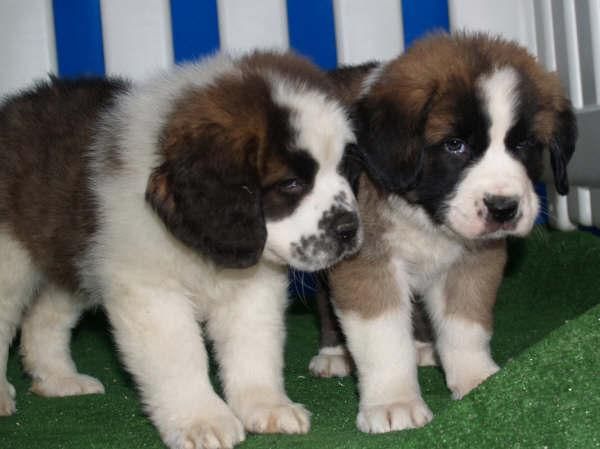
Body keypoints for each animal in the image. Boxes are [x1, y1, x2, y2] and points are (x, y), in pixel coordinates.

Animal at [0, 50, 360, 448]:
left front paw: (265, 406)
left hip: (69, 258)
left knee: (44, 317)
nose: (350, 230)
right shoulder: (151, 293)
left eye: (344, 168)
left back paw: (58, 380)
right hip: (12, 260)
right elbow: (180, 356)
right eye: (292, 183)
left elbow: (254, 345)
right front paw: (201, 420)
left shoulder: (252, 290)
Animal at [310, 33, 576, 432]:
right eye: (455, 145)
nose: (503, 207)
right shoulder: (368, 265)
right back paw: (333, 353)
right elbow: (383, 337)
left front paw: (477, 379)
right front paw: (394, 402)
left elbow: (465, 325)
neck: (423, 214)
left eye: (523, 145)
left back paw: (423, 346)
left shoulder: (473, 261)